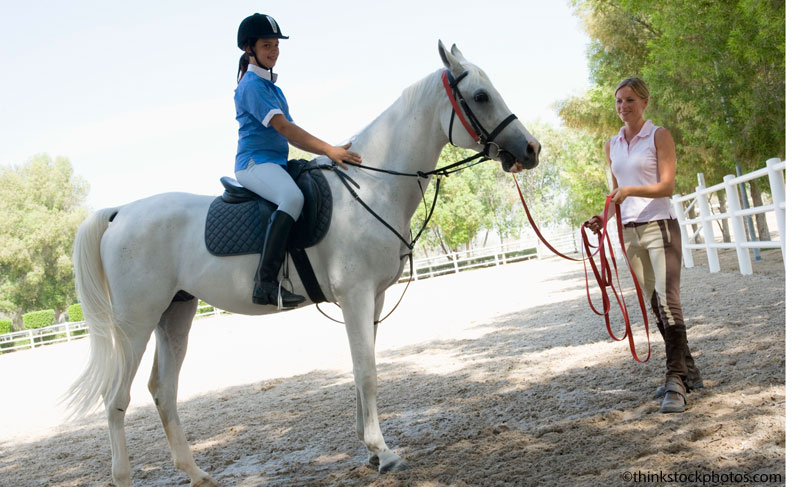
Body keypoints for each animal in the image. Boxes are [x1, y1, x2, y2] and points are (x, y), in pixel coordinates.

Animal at [67, 43, 536, 487]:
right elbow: (367, 371)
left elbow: (361, 368)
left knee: (163, 391)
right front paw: (383, 453)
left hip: (175, 314)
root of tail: (121, 213)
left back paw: (197, 474)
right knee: (116, 399)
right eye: (481, 95)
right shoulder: (355, 295)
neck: (372, 184)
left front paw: (369, 450)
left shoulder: (373, 298)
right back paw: (124, 477)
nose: (531, 149)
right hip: (136, 323)